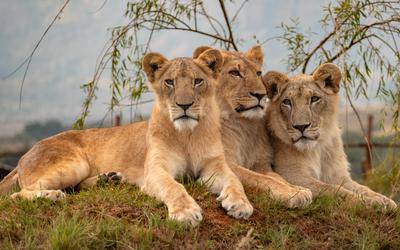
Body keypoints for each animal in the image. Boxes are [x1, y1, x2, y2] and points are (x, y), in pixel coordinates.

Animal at [262, 63, 396, 209]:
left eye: (314, 99)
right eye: (287, 102)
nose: (301, 126)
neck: (317, 149)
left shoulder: (338, 175)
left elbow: (362, 188)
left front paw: (385, 200)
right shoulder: (290, 174)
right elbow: (332, 189)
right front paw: (369, 202)